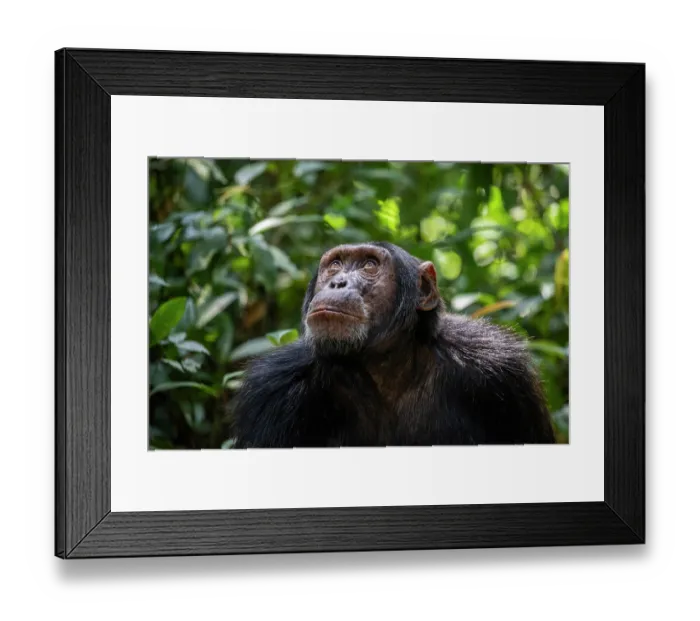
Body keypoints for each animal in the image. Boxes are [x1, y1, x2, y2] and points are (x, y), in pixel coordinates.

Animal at [228, 242, 556, 448]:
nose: (337, 283)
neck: (384, 365)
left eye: (369, 265)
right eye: (335, 265)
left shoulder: (501, 369)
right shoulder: (271, 390)